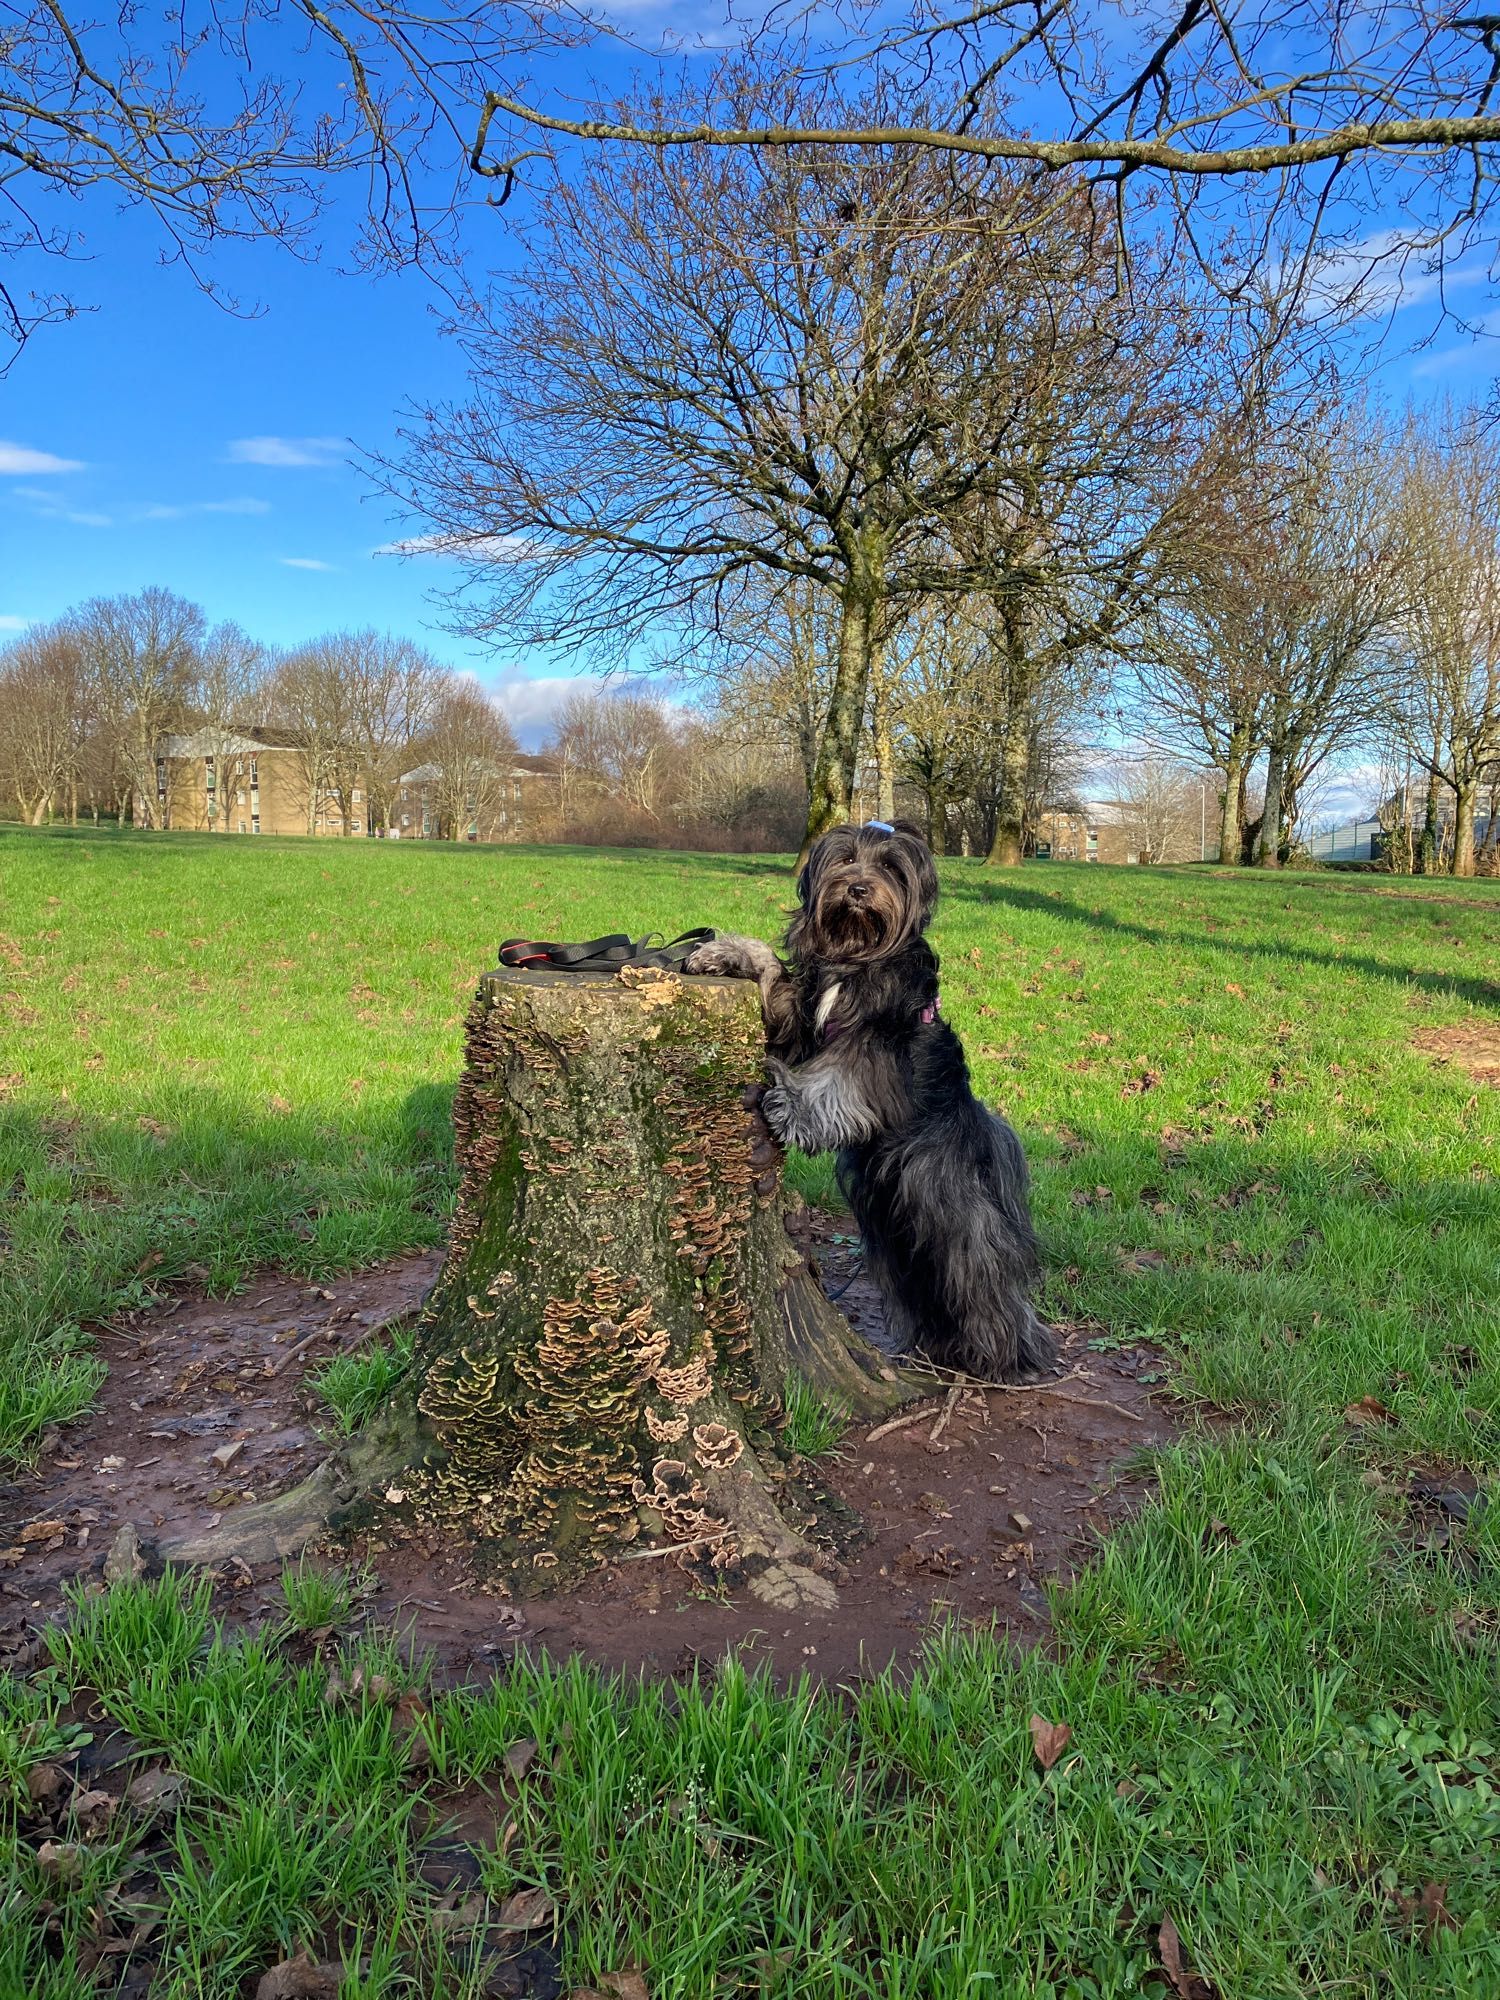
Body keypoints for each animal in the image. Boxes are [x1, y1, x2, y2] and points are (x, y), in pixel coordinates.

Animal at [684, 812, 1048, 1376]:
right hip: (892, 1225)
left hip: (954, 1210)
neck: (856, 957)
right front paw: (730, 953)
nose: (857, 888)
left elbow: (835, 1078)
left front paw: (789, 1103)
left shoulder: (876, 1046)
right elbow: (776, 981)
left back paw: (1002, 1354)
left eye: (891, 868)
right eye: (846, 859)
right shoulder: (802, 1021)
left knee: (986, 1276)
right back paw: (938, 1346)